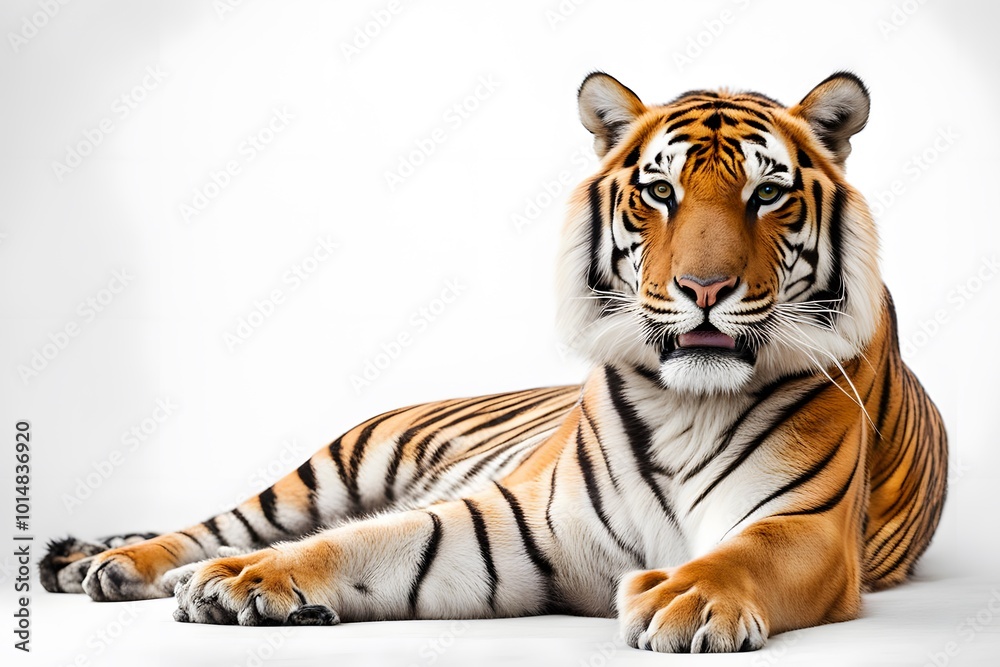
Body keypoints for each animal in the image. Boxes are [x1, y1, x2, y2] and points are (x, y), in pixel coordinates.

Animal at [41, 71, 947, 653]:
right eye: (660, 193)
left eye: (768, 194)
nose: (704, 288)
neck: (687, 402)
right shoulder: (510, 524)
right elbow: (357, 543)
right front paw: (241, 577)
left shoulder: (809, 525)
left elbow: (741, 552)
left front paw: (686, 596)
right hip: (329, 467)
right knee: (218, 523)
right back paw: (113, 563)